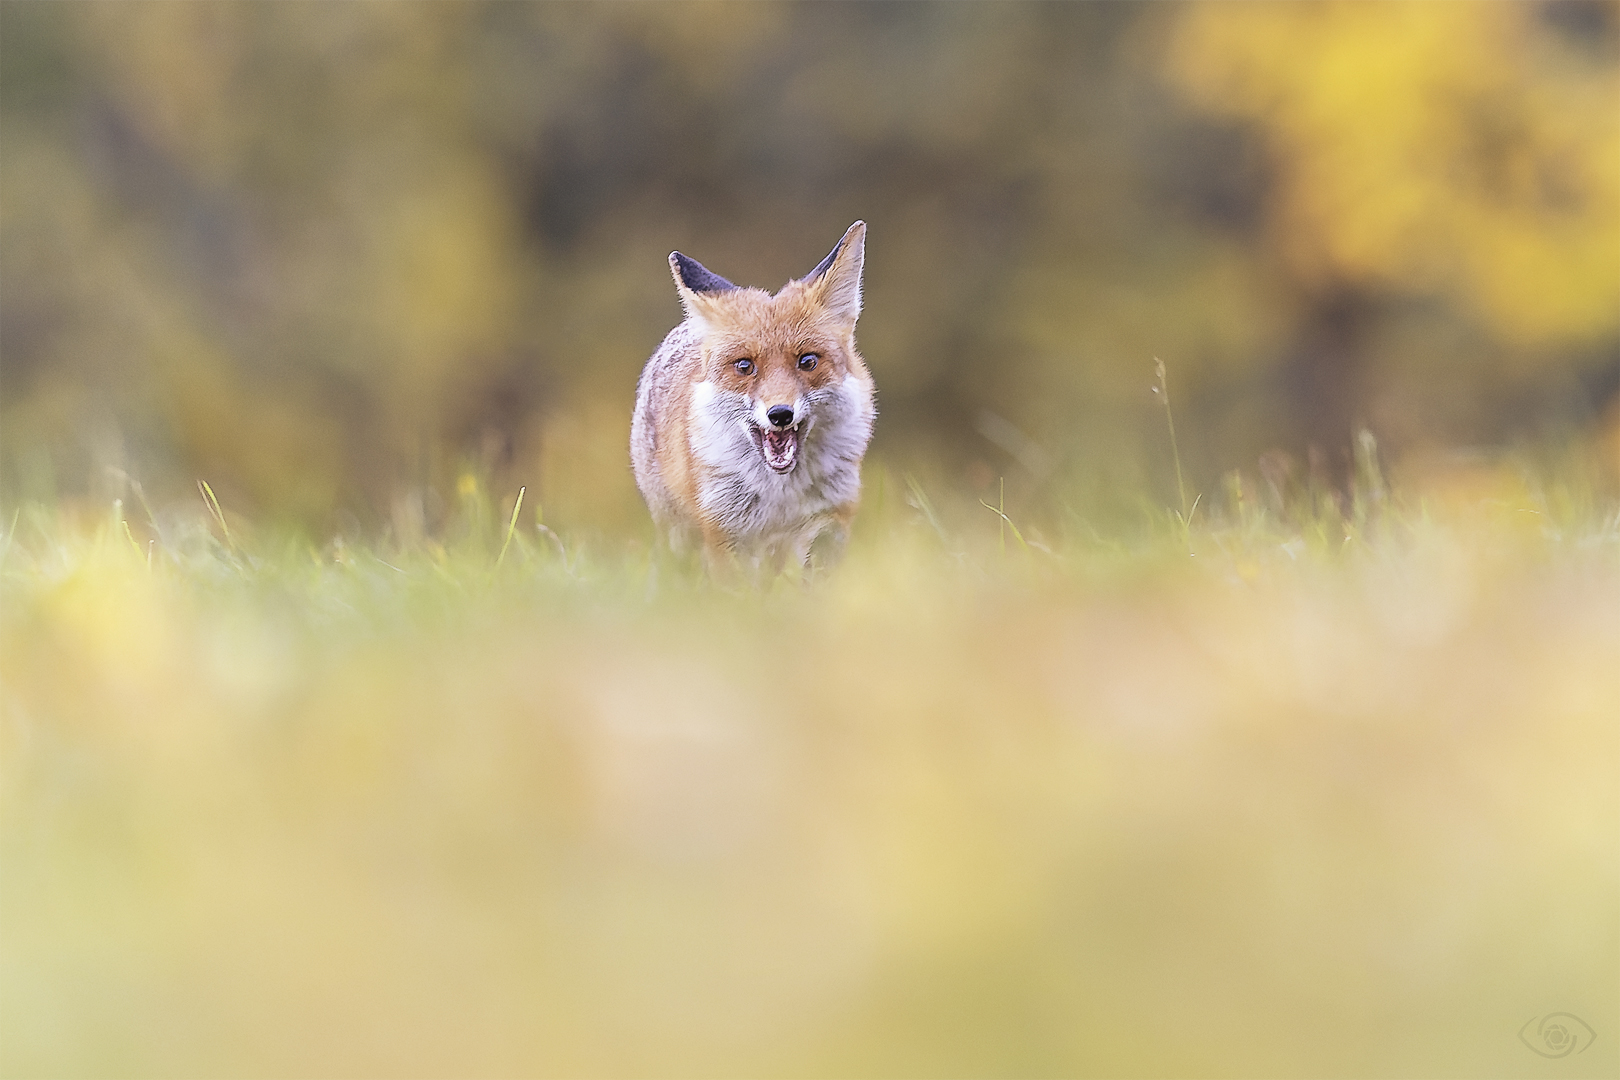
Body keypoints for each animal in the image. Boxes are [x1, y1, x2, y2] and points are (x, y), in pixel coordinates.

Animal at [631, 223, 881, 569]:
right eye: (744, 366)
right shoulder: (723, 531)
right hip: (679, 534)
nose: (780, 414)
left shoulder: (829, 520)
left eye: (807, 361)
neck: (780, 496)